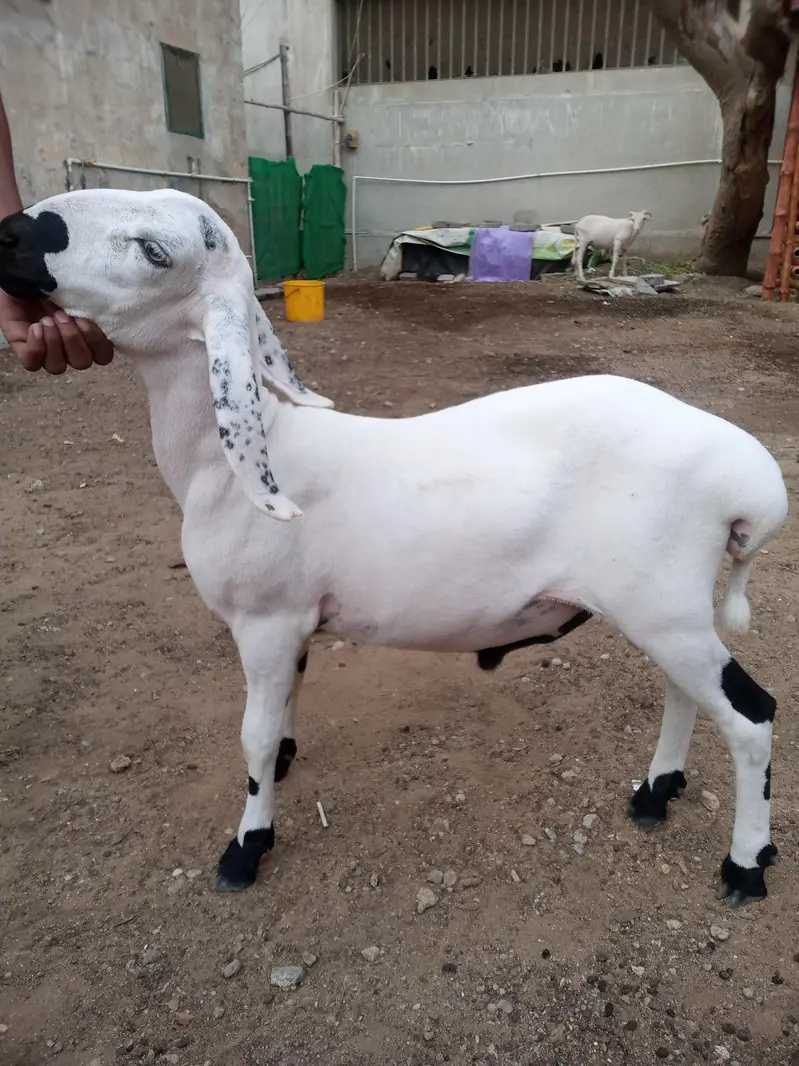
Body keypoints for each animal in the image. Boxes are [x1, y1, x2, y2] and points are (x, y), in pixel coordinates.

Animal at [0, 188, 787, 907]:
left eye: (154, 251)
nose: (11, 230)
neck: (237, 459)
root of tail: (751, 484)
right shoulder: (295, 622)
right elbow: (286, 708)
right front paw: (286, 762)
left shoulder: (264, 620)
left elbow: (253, 737)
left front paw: (248, 845)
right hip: (667, 605)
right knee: (684, 693)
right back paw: (656, 791)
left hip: (660, 605)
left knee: (750, 717)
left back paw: (745, 864)